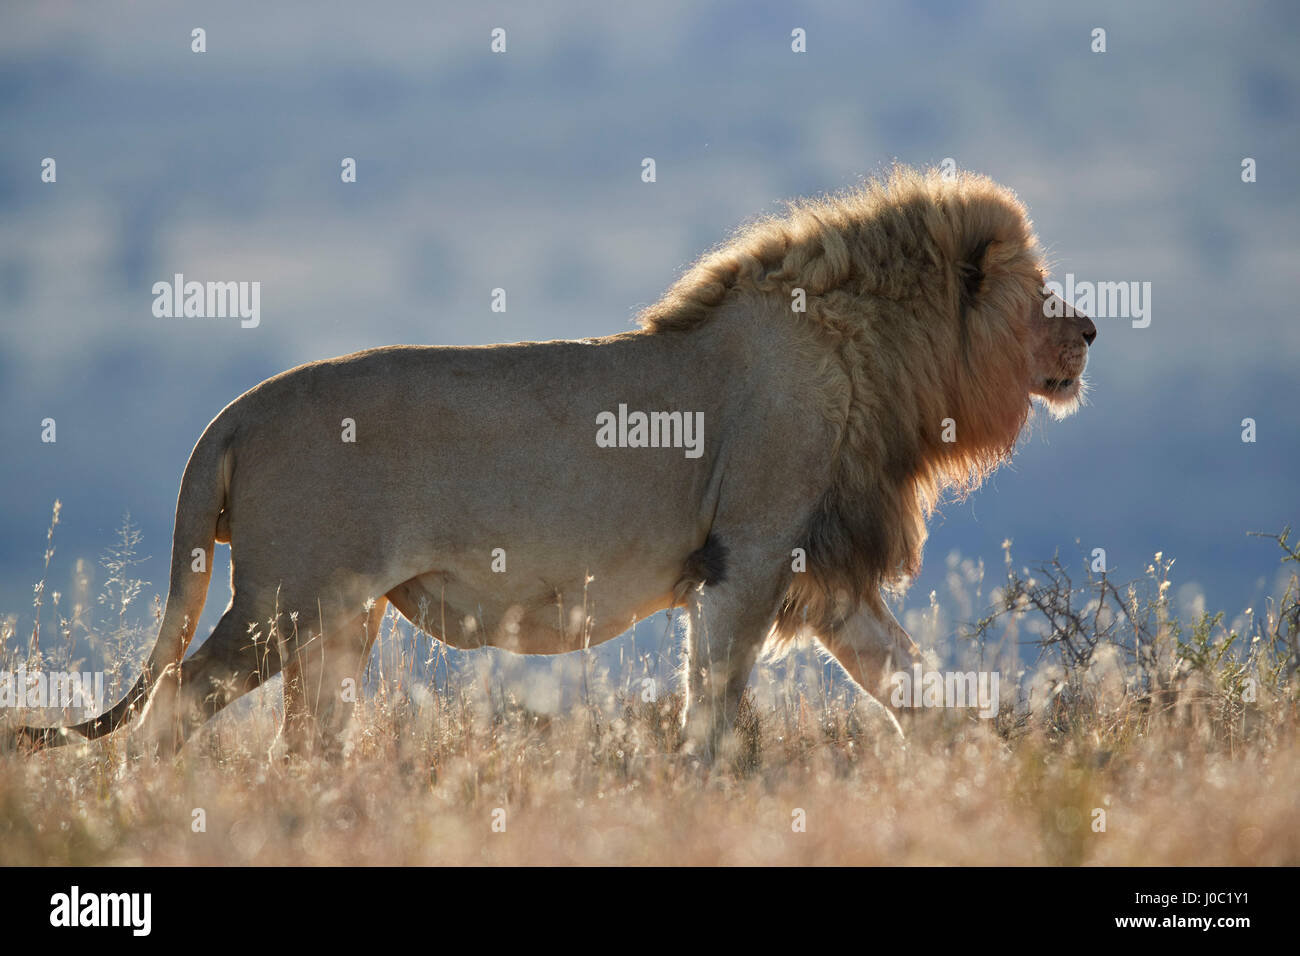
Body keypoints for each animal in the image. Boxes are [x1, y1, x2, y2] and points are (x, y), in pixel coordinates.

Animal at [6, 165, 1094, 760]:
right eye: (1038, 285)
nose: (1088, 328)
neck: (879, 357)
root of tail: (235, 412)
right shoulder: (744, 557)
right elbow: (715, 704)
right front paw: (708, 783)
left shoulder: (823, 575)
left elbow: (918, 686)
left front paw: (977, 764)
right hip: (285, 601)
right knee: (177, 702)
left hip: (341, 621)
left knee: (305, 737)